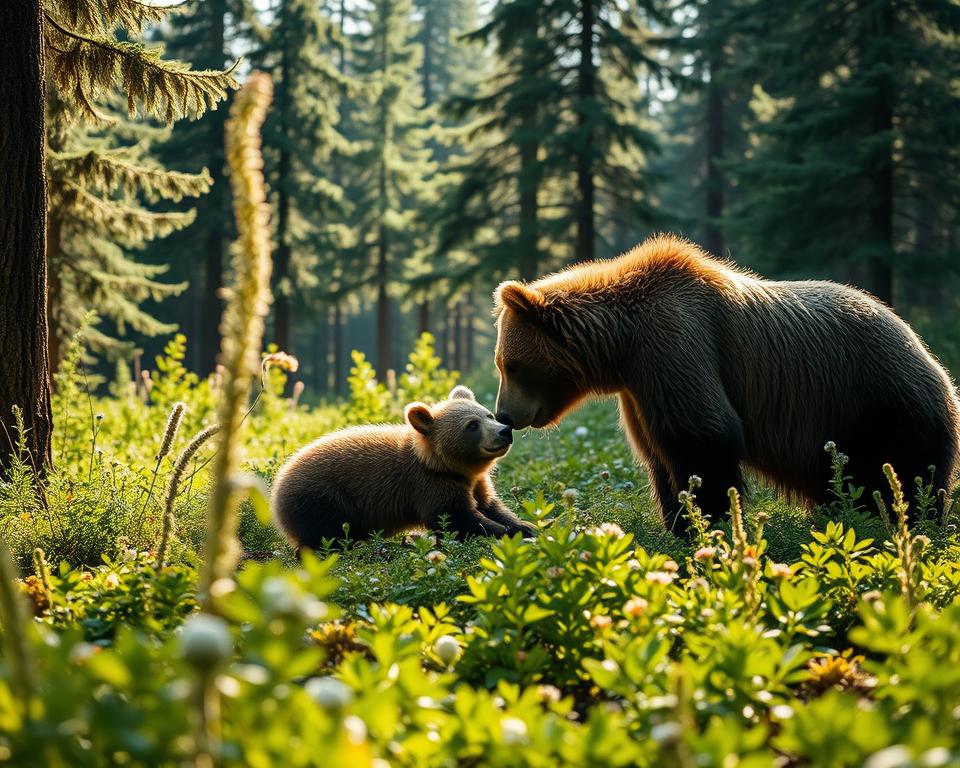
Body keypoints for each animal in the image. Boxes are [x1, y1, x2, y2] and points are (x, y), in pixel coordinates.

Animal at [271, 385, 536, 550]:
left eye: (488, 415)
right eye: (472, 425)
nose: (505, 431)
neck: (447, 466)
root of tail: (276, 486)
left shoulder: (475, 483)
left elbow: (491, 506)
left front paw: (526, 526)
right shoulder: (430, 484)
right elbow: (456, 518)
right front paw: (504, 532)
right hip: (322, 499)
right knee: (327, 534)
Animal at [492, 233, 960, 533]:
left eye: (510, 365)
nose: (504, 415)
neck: (622, 345)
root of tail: (925, 349)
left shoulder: (677, 345)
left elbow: (703, 438)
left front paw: (706, 524)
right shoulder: (640, 388)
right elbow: (659, 454)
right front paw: (677, 523)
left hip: (878, 401)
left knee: (909, 470)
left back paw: (909, 518)